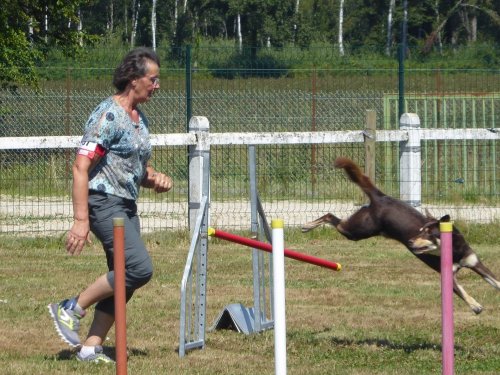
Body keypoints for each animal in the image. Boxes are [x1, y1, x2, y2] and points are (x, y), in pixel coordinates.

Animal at [300, 157, 500, 316]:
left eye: (428, 233)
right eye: (420, 231)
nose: (410, 241)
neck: (454, 250)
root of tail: (380, 196)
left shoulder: (476, 263)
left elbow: (496, 281)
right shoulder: (447, 275)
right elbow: (463, 291)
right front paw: (475, 305)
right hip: (356, 230)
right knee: (329, 216)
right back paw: (307, 225)